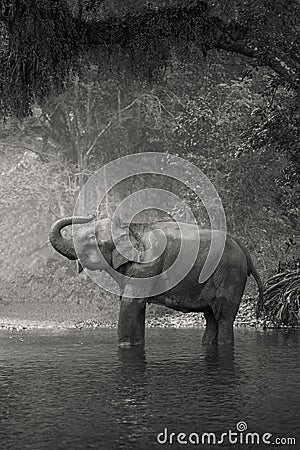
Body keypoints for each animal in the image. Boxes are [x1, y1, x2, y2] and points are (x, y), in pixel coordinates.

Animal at [48, 216, 262, 346]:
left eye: (92, 238)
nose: (90, 214)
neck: (132, 227)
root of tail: (245, 251)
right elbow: (137, 307)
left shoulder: (147, 266)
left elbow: (130, 303)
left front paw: (124, 345)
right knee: (211, 317)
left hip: (230, 276)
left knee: (223, 317)